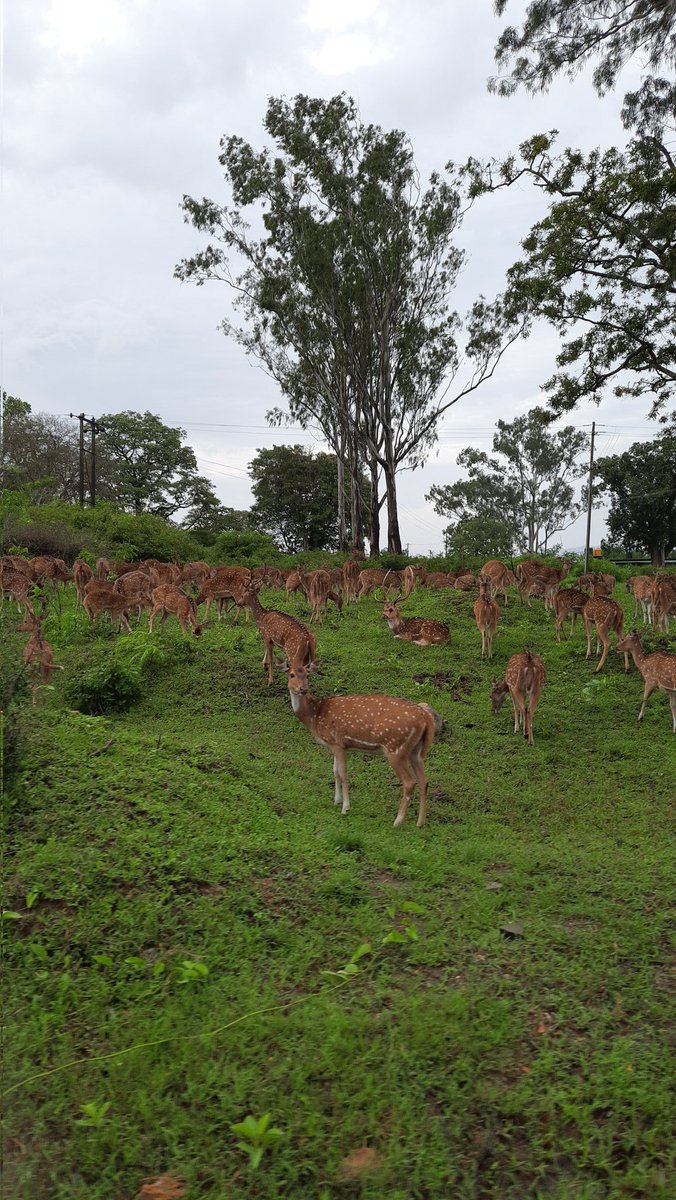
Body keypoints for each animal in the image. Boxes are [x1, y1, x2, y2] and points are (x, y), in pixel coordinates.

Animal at [283, 661, 443, 827]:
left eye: (307, 675)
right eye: (291, 674)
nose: (303, 689)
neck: (315, 716)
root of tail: (426, 718)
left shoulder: (338, 742)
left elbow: (343, 773)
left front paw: (345, 808)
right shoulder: (335, 745)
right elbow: (335, 771)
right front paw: (336, 801)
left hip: (396, 749)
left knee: (409, 782)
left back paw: (397, 821)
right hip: (416, 752)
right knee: (424, 781)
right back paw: (420, 823)